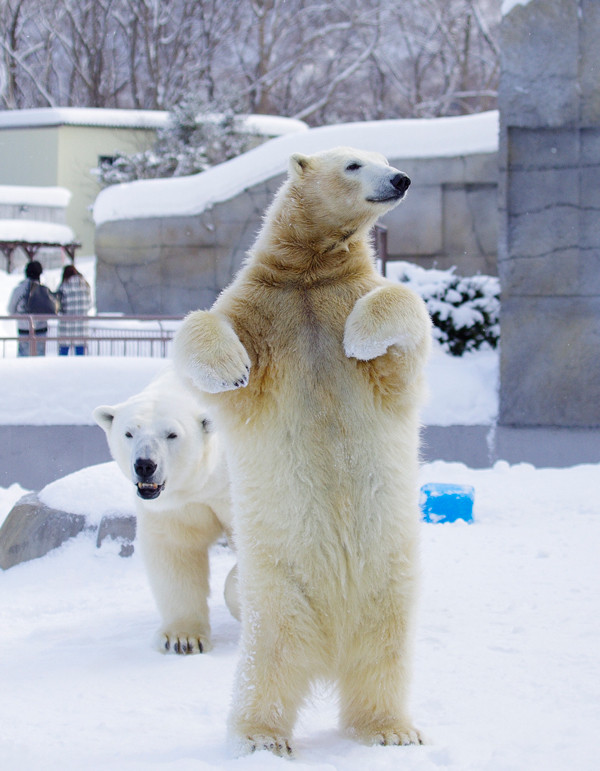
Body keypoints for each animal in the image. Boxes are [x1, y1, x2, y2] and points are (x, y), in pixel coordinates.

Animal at [94, 370, 239, 656]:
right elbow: (175, 551)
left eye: (172, 434)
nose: (145, 465)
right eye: (128, 433)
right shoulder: (176, 506)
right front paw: (182, 639)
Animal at [173, 148, 432, 756]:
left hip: (390, 585)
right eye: (355, 163)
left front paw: (360, 337)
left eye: (386, 157)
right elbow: (205, 326)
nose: (401, 178)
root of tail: (332, 650)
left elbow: (401, 309)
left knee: (384, 659)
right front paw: (229, 367)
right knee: (267, 665)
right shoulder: (265, 308)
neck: (310, 274)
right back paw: (262, 738)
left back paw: (392, 730)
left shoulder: (348, 298)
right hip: (279, 592)